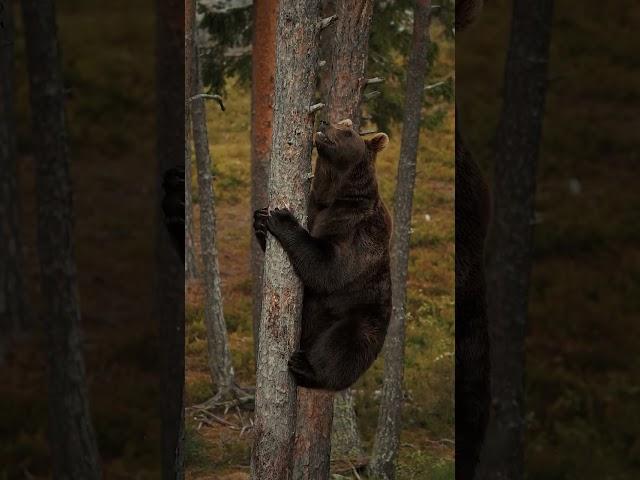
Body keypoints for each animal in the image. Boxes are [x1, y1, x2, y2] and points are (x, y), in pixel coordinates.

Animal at [252, 119, 392, 390]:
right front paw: (261, 217)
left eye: (347, 131)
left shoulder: (355, 229)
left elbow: (329, 267)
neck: (332, 194)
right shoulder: (315, 206)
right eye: (344, 123)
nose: (326, 122)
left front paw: (282, 217)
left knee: (344, 346)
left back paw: (306, 367)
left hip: (362, 314)